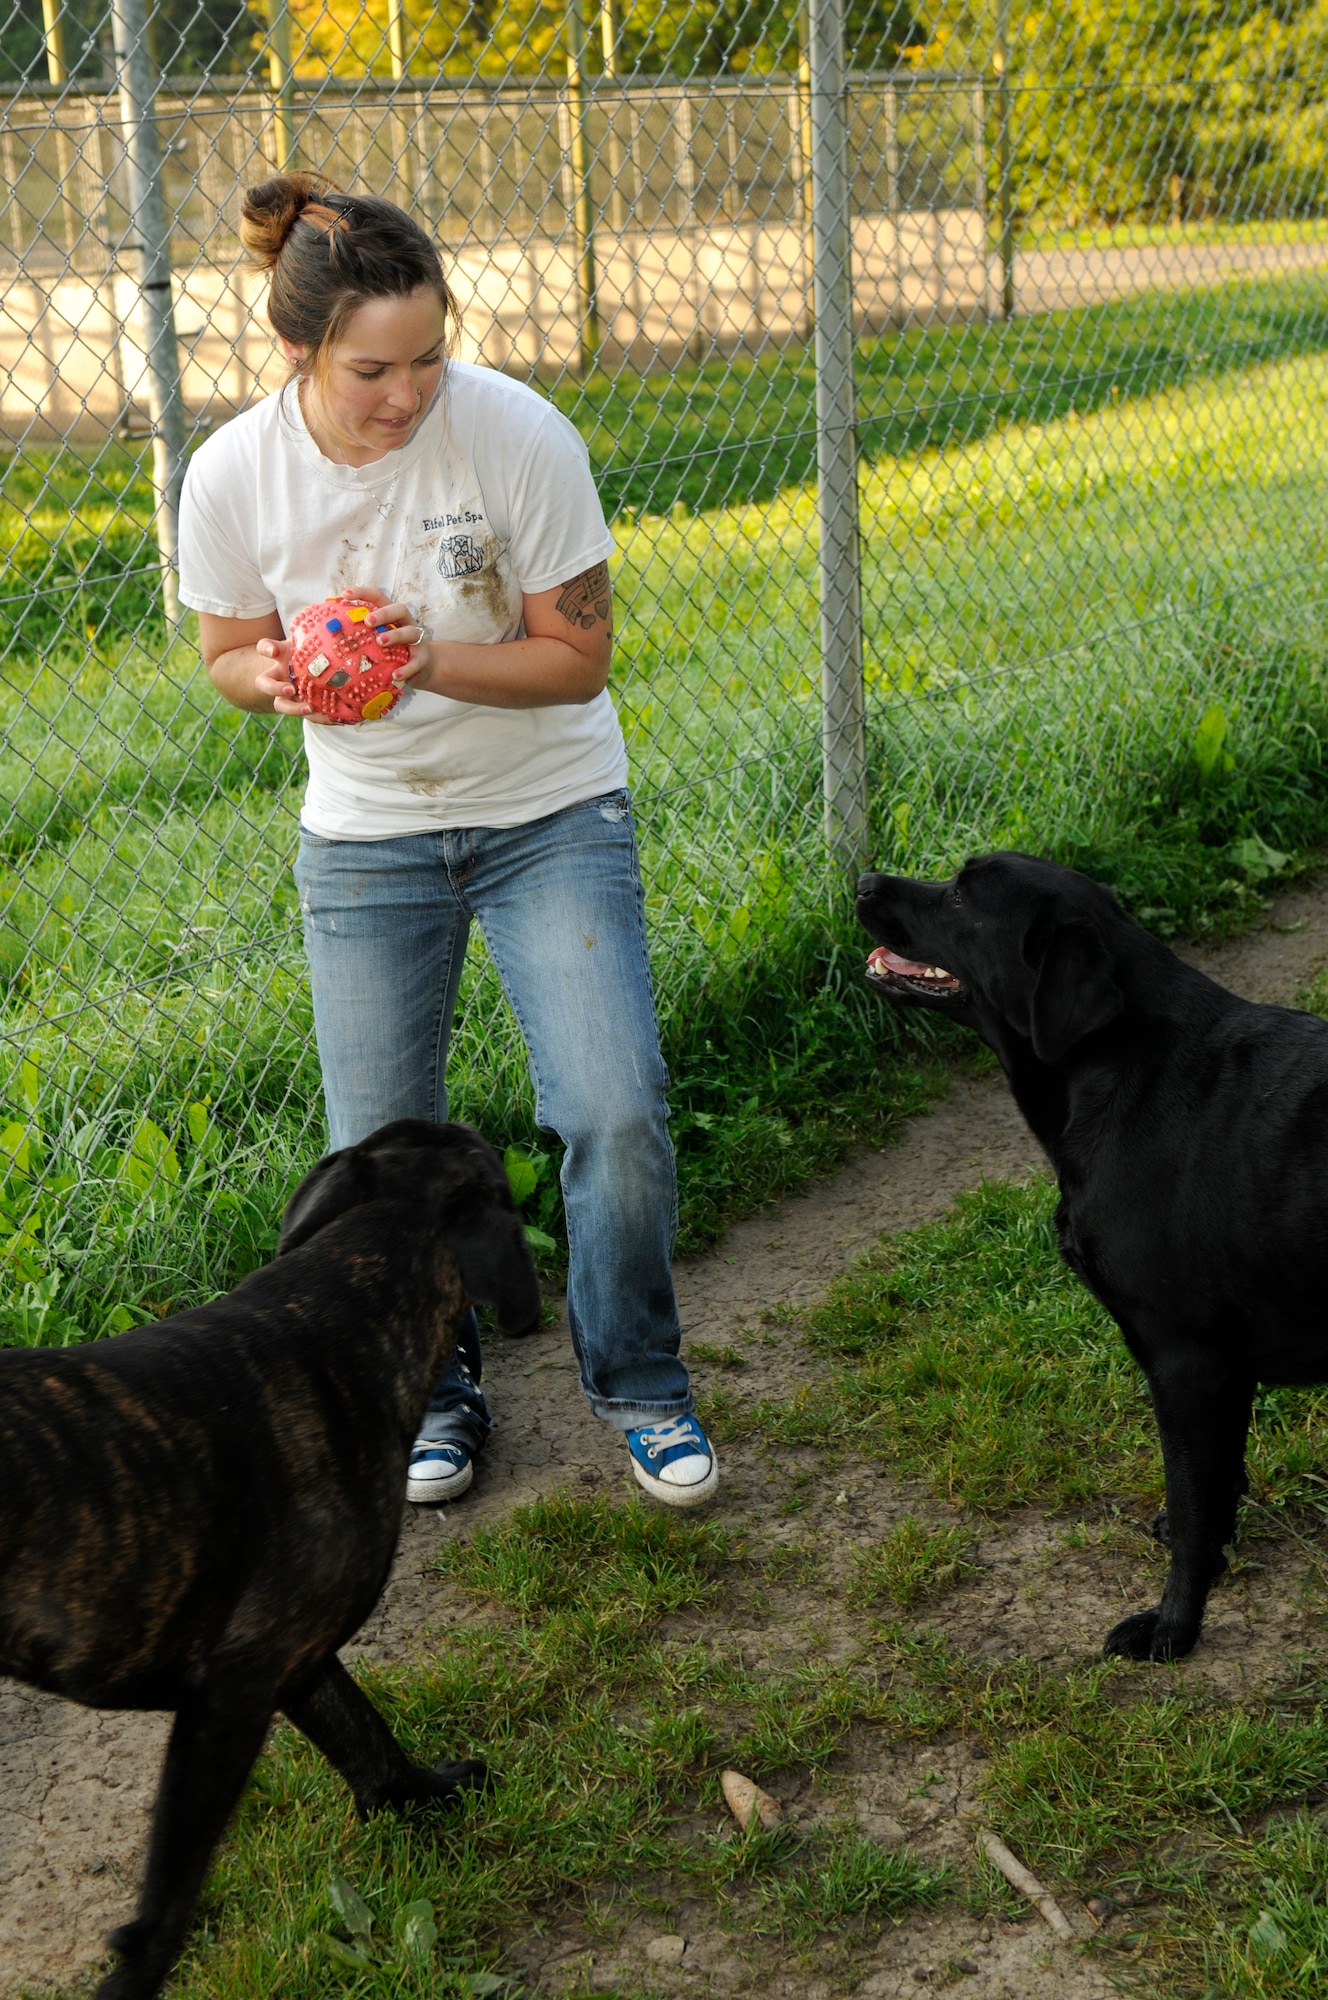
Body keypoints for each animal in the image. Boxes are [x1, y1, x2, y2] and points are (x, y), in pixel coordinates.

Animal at [1, 1120, 540, 1992]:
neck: (338, 1305)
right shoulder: (229, 1697)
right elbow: (169, 1904)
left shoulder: (295, 1655)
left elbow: (365, 1734)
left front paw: (423, 1796)